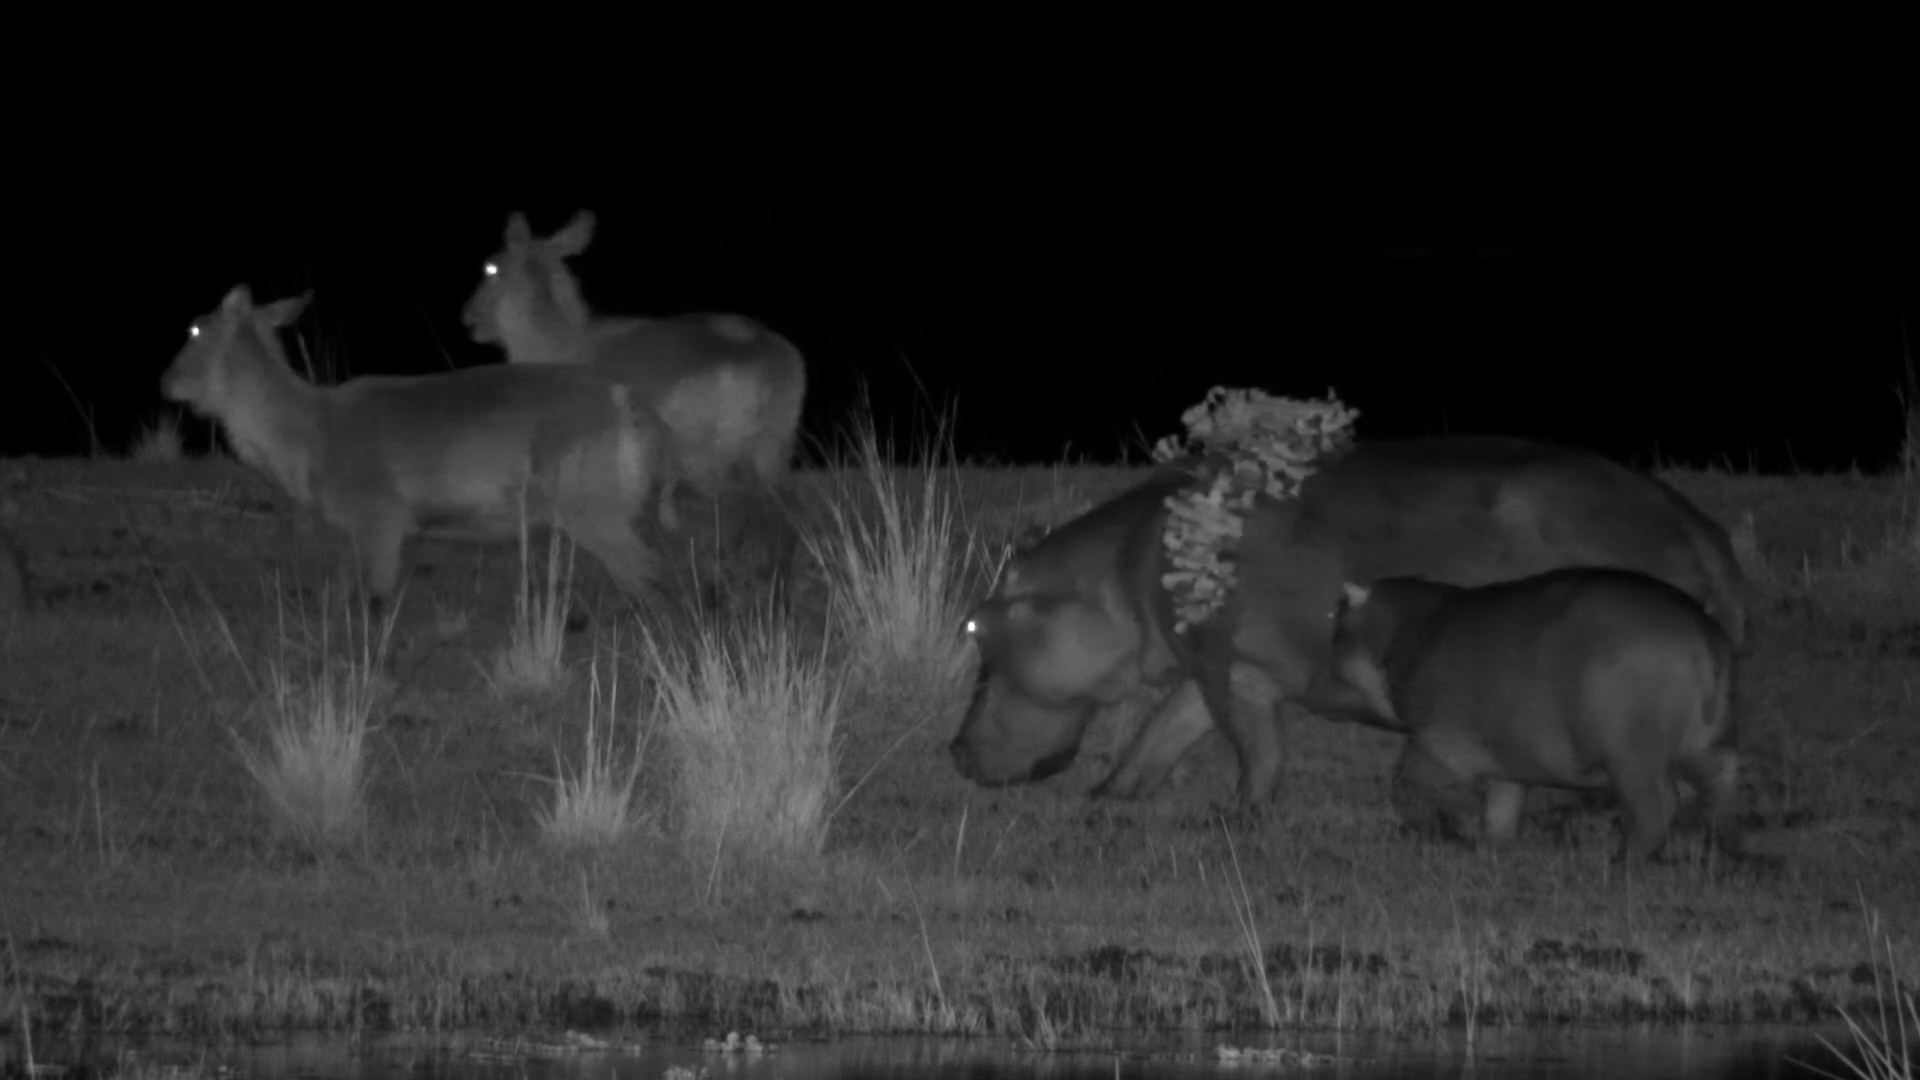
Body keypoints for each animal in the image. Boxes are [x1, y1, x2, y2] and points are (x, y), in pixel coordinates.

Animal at [949, 436, 1748, 808]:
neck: (1114, 572)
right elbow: (1161, 736)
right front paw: (1107, 798)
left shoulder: (1226, 668)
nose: (952, 751)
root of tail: (1700, 528)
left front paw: (1238, 814)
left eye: (979, 630)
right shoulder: (1213, 665)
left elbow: (1255, 748)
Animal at [1310, 568, 1742, 861]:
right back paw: (1707, 851)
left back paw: (1621, 863)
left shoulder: (1435, 741)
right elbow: (1503, 806)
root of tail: (1702, 633)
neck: (1401, 630)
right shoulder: (1508, 755)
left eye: (1336, 629)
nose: (1306, 687)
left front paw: (1451, 833)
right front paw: (1493, 849)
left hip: (1632, 754)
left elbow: (1406, 784)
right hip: (1705, 746)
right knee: (1721, 787)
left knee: (1656, 805)